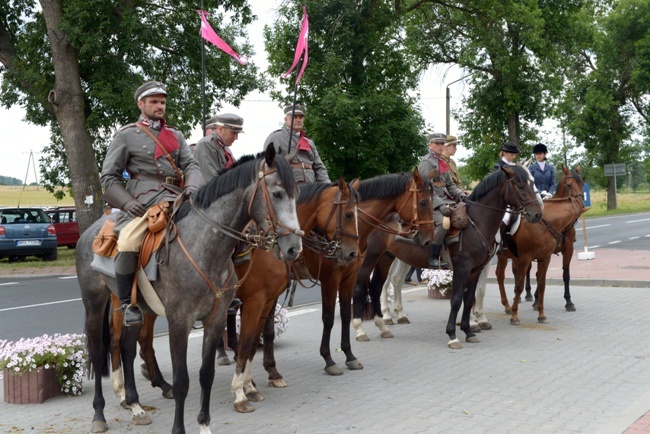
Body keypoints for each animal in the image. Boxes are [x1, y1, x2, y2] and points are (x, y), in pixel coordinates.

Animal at [79, 147, 304, 434]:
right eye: (277, 193)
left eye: (297, 194)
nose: (294, 248)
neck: (205, 246)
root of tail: (92, 230)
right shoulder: (180, 322)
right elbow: (183, 381)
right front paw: (182, 427)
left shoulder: (216, 319)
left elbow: (207, 374)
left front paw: (205, 424)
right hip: (95, 304)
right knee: (100, 353)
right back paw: (100, 414)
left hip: (137, 307)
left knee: (127, 348)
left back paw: (136, 406)